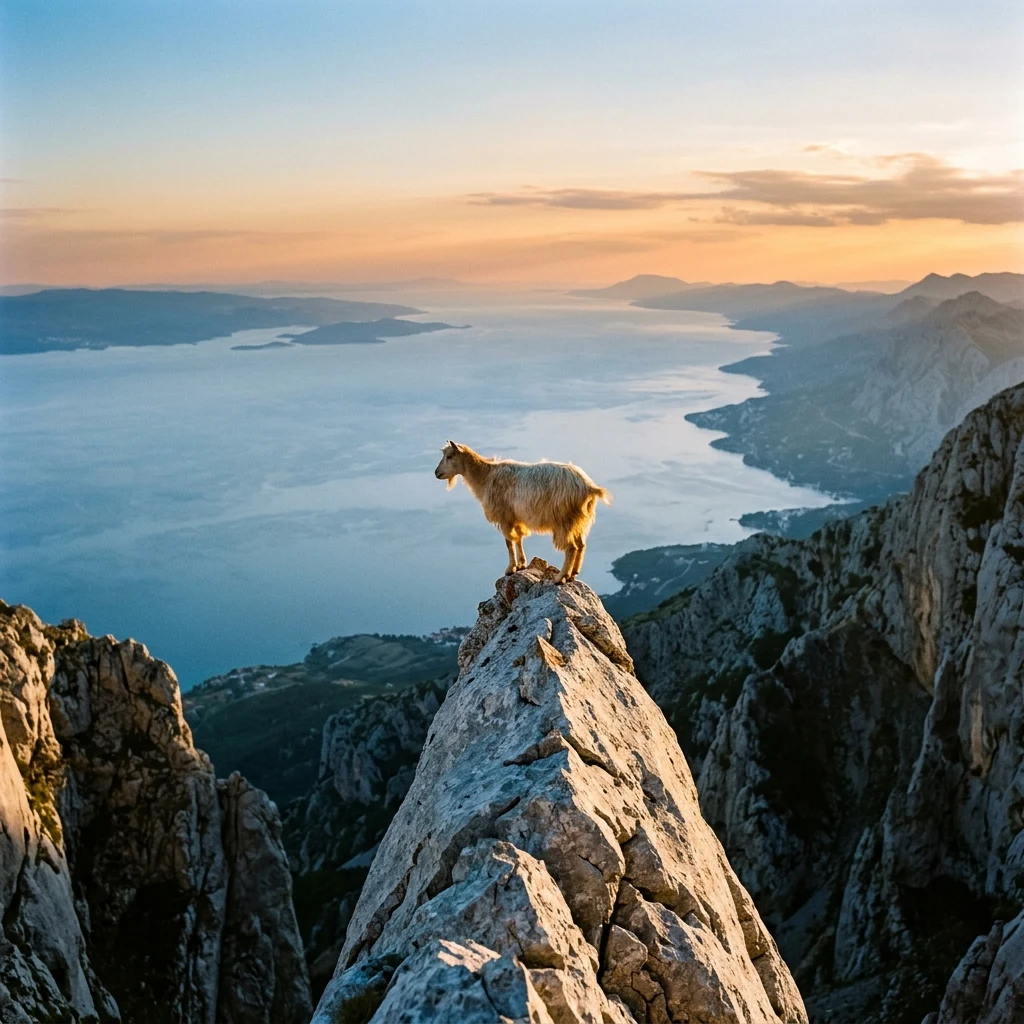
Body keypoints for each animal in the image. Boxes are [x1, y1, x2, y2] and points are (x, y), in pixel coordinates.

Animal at [434, 441, 611, 583]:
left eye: (450, 456)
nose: (436, 473)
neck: (486, 476)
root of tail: (589, 487)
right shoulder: (515, 517)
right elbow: (518, 538)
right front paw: (521, 564)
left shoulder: (504, 516)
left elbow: (508, 542)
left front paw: (510, 568)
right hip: (578, 520)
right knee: (581, 545)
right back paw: (573, 574)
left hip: (563, 520)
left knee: (571, 548)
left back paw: (560, 578)